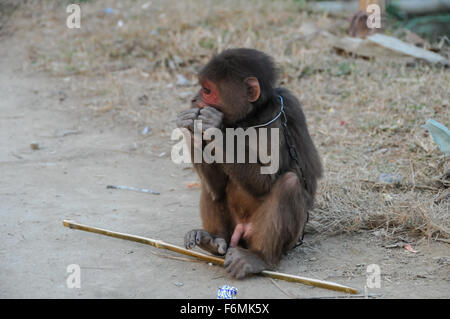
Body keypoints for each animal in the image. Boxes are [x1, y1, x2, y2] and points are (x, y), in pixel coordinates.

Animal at [177, 48, 324, 280]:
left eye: (207, 90)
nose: (193, 99)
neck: (250, 116)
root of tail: (241, 234)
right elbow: (217, 186)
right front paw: (193, 127)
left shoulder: (278, 114)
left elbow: (265, 181)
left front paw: (210, 124)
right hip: (232, 230)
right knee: (213, 191)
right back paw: (213, 240)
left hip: (277, 238)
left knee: (289, 183)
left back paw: (259, 257)